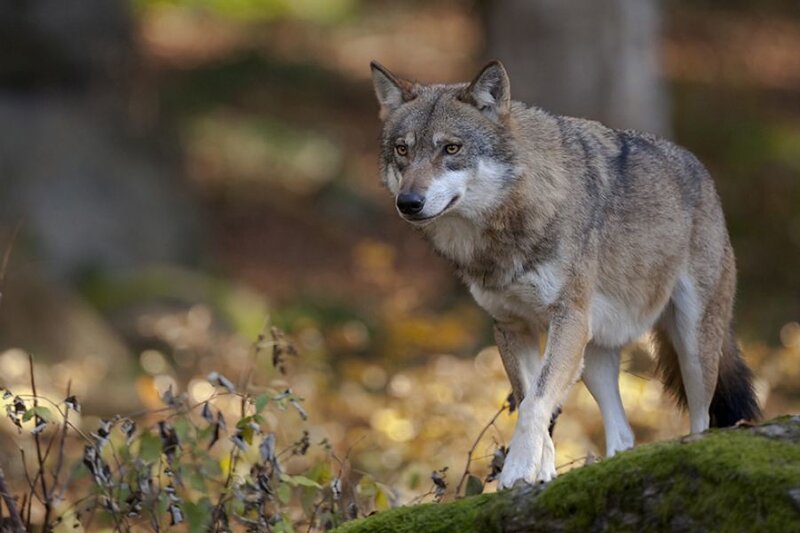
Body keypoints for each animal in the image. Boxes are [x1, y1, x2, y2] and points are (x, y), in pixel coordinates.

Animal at [369, 59, 760, 488]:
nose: (408, 202)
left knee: (702, 418)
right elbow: (532, 401)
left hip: (691, 346)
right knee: (624, 433)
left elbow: (536, 402)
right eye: (403, 150)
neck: (507, 227)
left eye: (451, 148)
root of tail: (702, 171)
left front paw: (517, 471)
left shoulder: (567, 319)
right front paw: (540, 471)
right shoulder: (511, 326)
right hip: (594, 355)